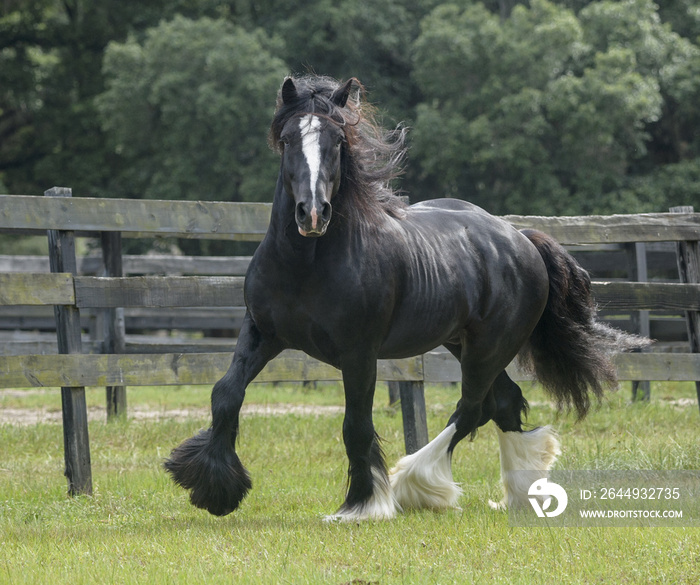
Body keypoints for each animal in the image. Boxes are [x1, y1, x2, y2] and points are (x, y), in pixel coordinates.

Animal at [164, 75, 644, 516]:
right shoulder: (262, 333)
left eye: (338, 141)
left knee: (472, 407)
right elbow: (226, 393)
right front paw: (215, 490)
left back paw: (414, 484)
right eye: (286, 141)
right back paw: (517, 495)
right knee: (503, 403)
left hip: (490, 347)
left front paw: (360, 504)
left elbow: (356, 424)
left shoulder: (359, 352)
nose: (313, 214)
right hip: (461, 342)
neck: (307, 264)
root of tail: (520, 238)